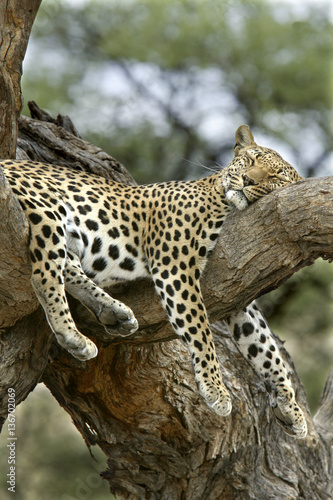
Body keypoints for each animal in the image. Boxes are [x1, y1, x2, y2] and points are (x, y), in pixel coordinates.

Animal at [0, 124, 306, 438]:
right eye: (250, 159)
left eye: (277, 176)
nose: (247, 180)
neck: (225, 202)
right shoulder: (176, 265)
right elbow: (200, 328)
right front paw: (215, 388)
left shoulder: (237, 288)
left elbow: (265, 346)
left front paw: (290, 407)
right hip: (46, 208)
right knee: (45, 273)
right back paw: (73, 336)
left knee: (68, 265)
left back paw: (114, 313)